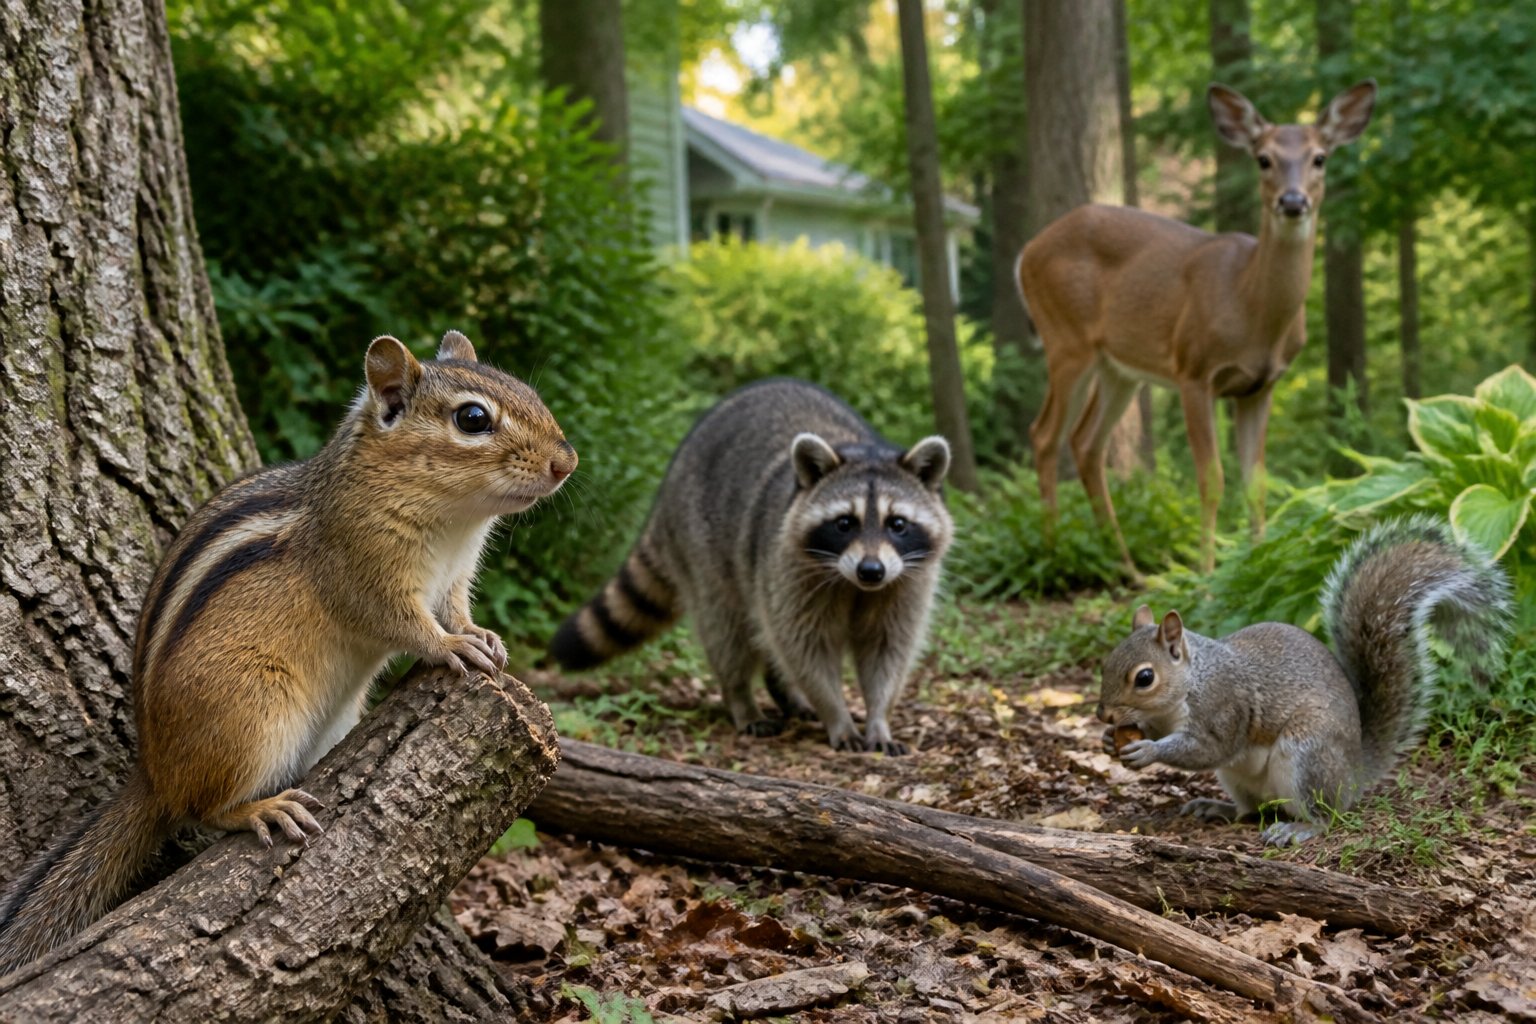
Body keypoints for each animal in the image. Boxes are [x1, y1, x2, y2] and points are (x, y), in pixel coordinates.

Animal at [0, 331, 576, 973]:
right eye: (473, 418)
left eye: (528, 392)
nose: (566, 462)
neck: (454, 521)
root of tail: (153, 772)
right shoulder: (361, 569)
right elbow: (401, 622)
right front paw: (450, 646)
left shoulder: (454, 577)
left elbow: (455, 608)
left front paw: (481, 636)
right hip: (254, 715)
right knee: (201, 809)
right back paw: (259, 810)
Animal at [550, 378, 953, 753]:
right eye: (844, 523)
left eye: (897, 524)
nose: (871, 571)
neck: (854, 584)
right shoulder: (787, 564)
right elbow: (806, 647)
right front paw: (836, 713)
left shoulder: (907, 581)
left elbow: (888, 649)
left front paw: (879, 717)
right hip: (703, 547)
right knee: (727, 630)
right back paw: (741, 697)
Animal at [1017, 80, 1377, 573]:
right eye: (1263, 158)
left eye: (1320, 157)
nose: (1292, 202)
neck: (1252, 309)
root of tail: (1026, 253)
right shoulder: (1193, 369)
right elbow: (1212, 479)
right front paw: (1206, 571)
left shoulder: (1261, 386)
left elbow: (1256, 481)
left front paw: (1258, 562)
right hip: (1066, 340)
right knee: (1044, 434)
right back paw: (1053, 551)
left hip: (1119, 367)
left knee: (1086, 442)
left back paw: (1127, 566)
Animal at [1096, 517, 1510, 846]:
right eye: (1106, 663)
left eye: (1145, 677)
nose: (1103, 714)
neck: (1187, 685)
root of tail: (1354, 774)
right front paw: (1110, 739)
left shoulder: (1223, 705)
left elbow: (1208, 748)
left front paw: (1148, 751)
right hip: (1238, 778)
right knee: (1252, 810)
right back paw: (1218, 808)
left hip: (1308, 752)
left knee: (1325, 814)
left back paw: (1300, 829)